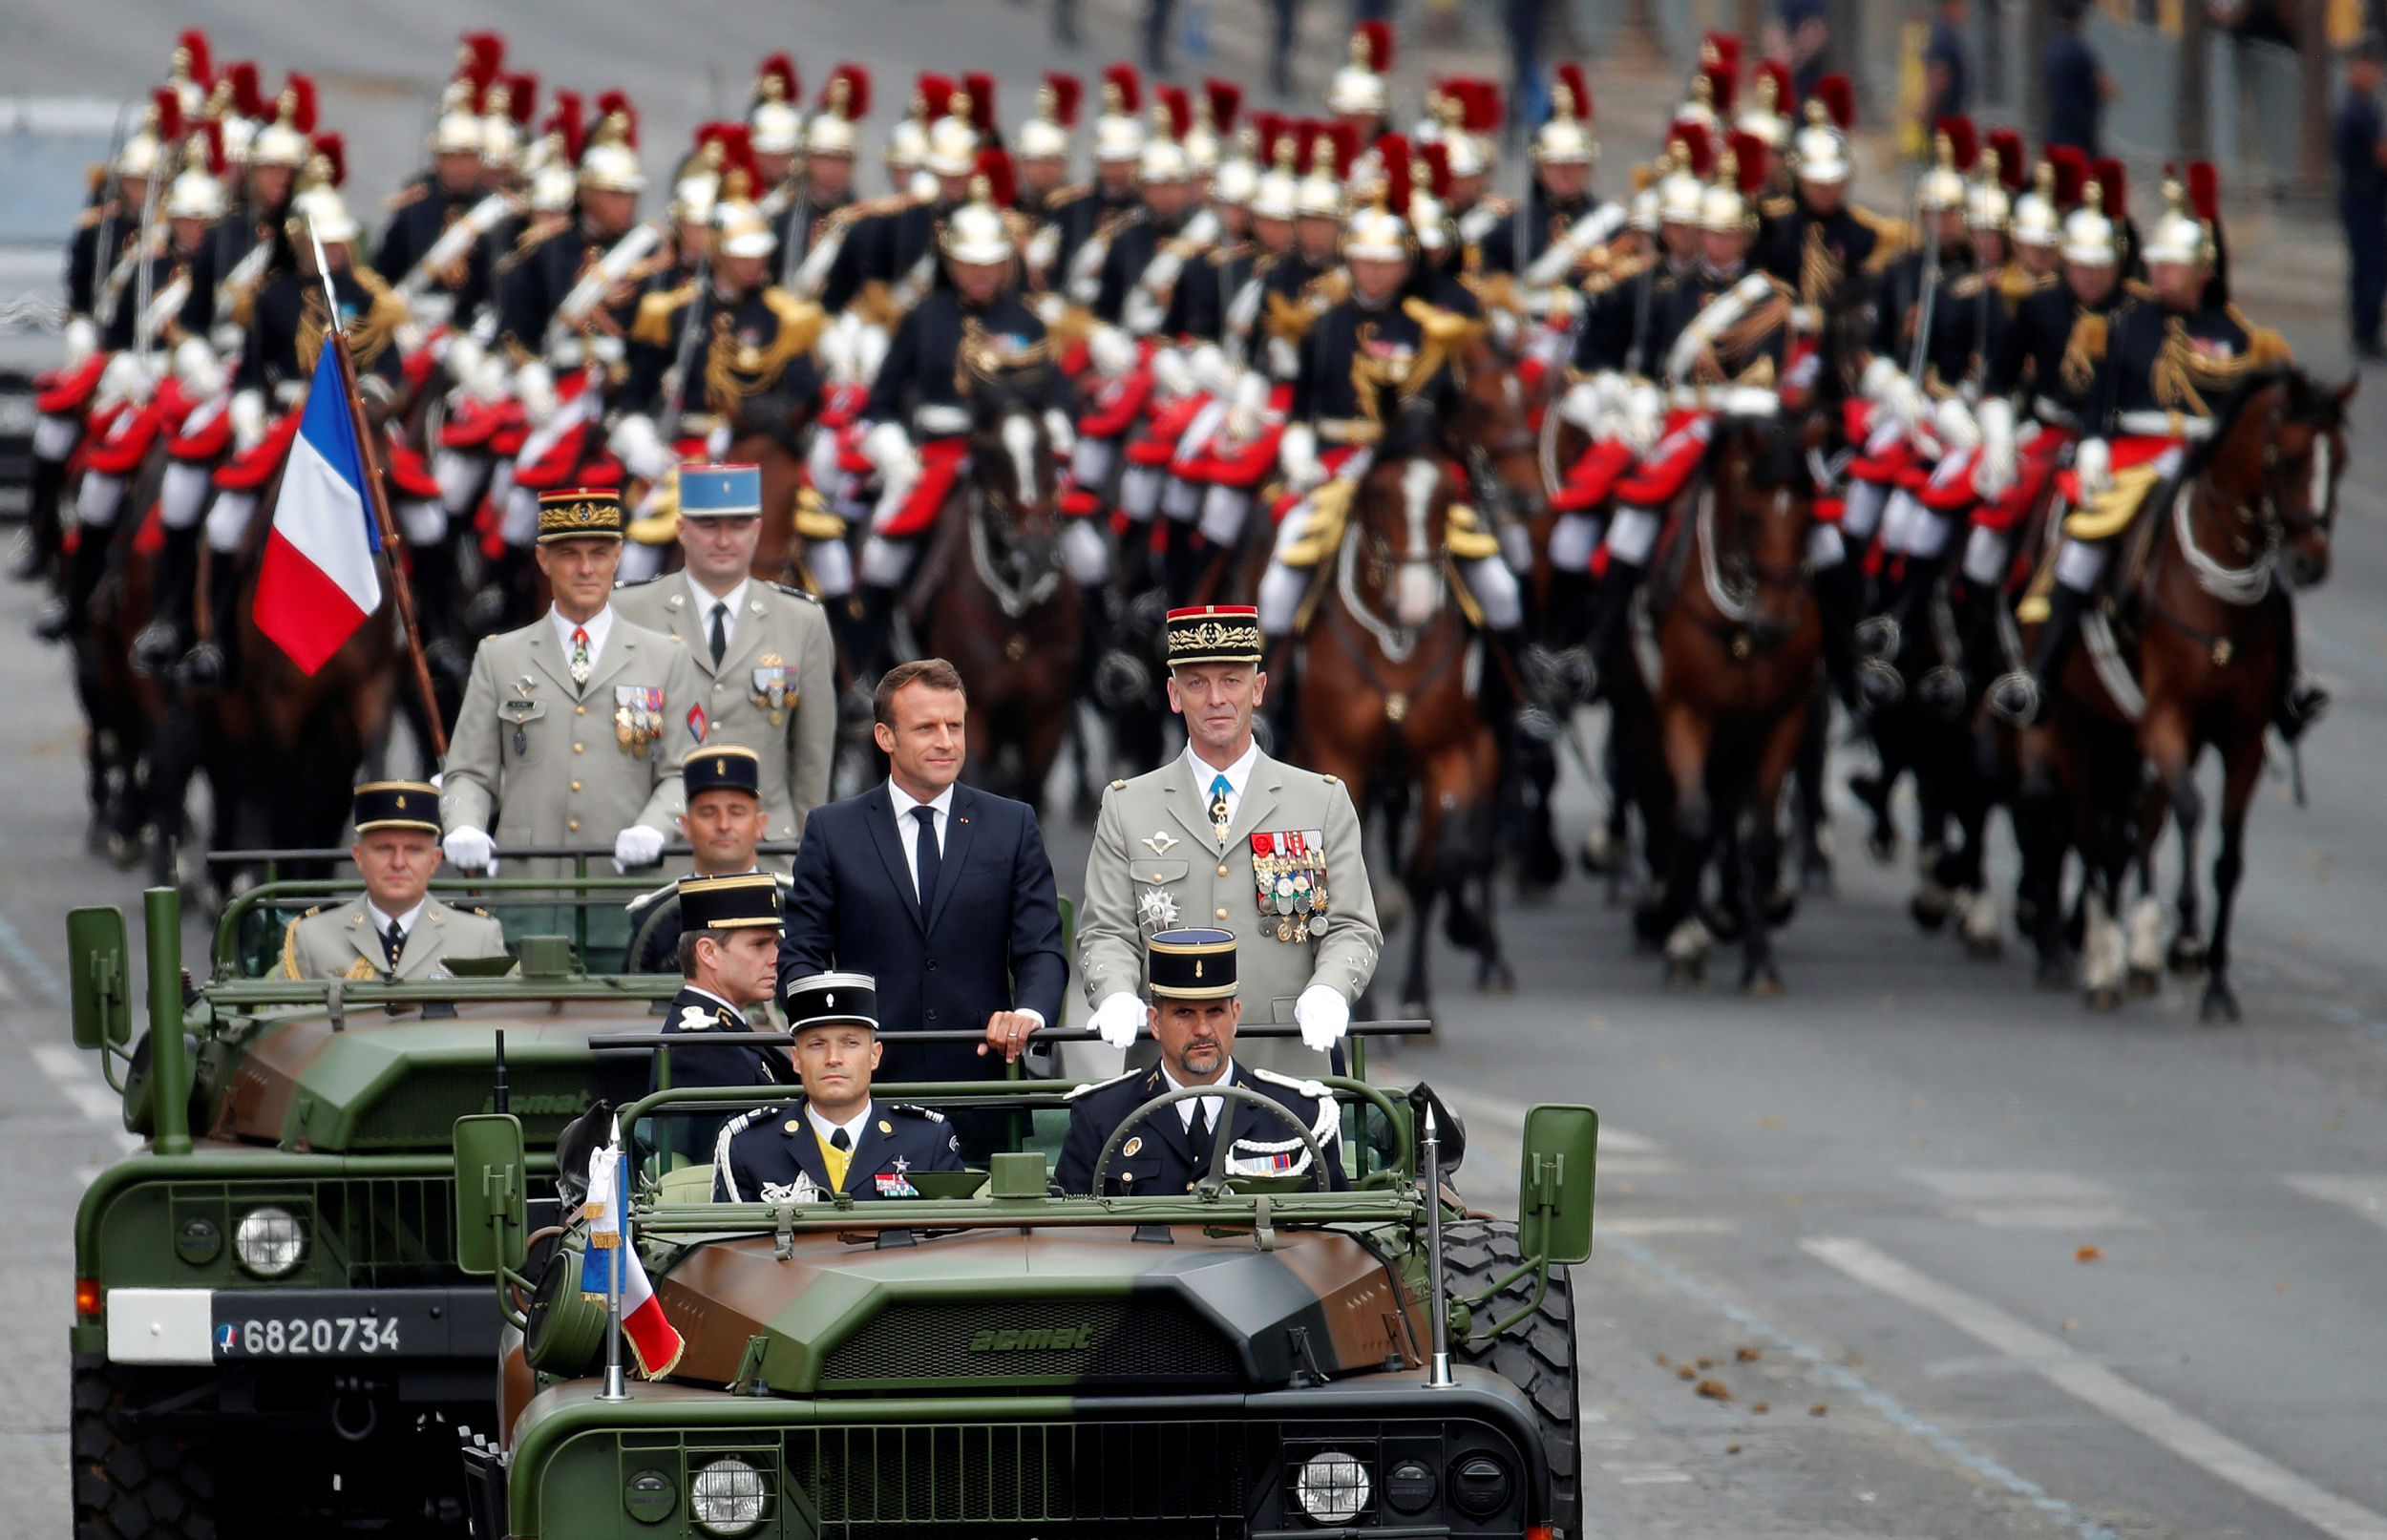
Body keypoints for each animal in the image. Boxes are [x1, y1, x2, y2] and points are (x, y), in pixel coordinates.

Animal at [912, 382, 1084, 807]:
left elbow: (1029, 789)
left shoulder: (1047, 719)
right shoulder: (973, 716)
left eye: (1048, 447)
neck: (1016, 624)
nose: (1037, 552)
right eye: (987, 452)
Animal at [1299, 403, 1499, 1017]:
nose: (1416, 604)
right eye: (1380, 492)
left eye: (1447, 495)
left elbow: (1439, 864)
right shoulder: (1340, 759)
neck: (1394, 642)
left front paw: (1416, 992)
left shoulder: (1448, 754)